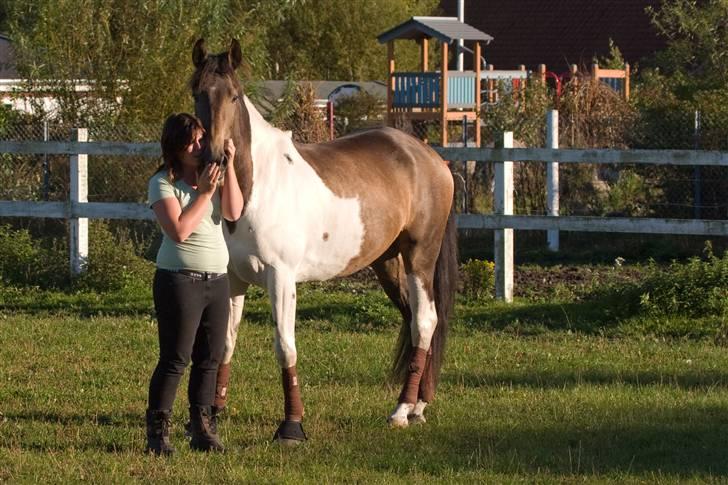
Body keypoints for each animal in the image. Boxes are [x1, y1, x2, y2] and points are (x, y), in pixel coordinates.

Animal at [191, 40, 458, 442]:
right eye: (196, 93)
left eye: (234, 96)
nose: (215, 156)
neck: (256, 185)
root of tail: (431, 158)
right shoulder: (233, 279)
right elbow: (225, 343)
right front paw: (214, 414)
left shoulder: (281, 278)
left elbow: (285, 347)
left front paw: (291, 426)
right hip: (388, 263)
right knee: (415, 322)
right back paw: (418, 407)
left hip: (419, 258)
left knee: (425, 322)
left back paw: (401, 410)